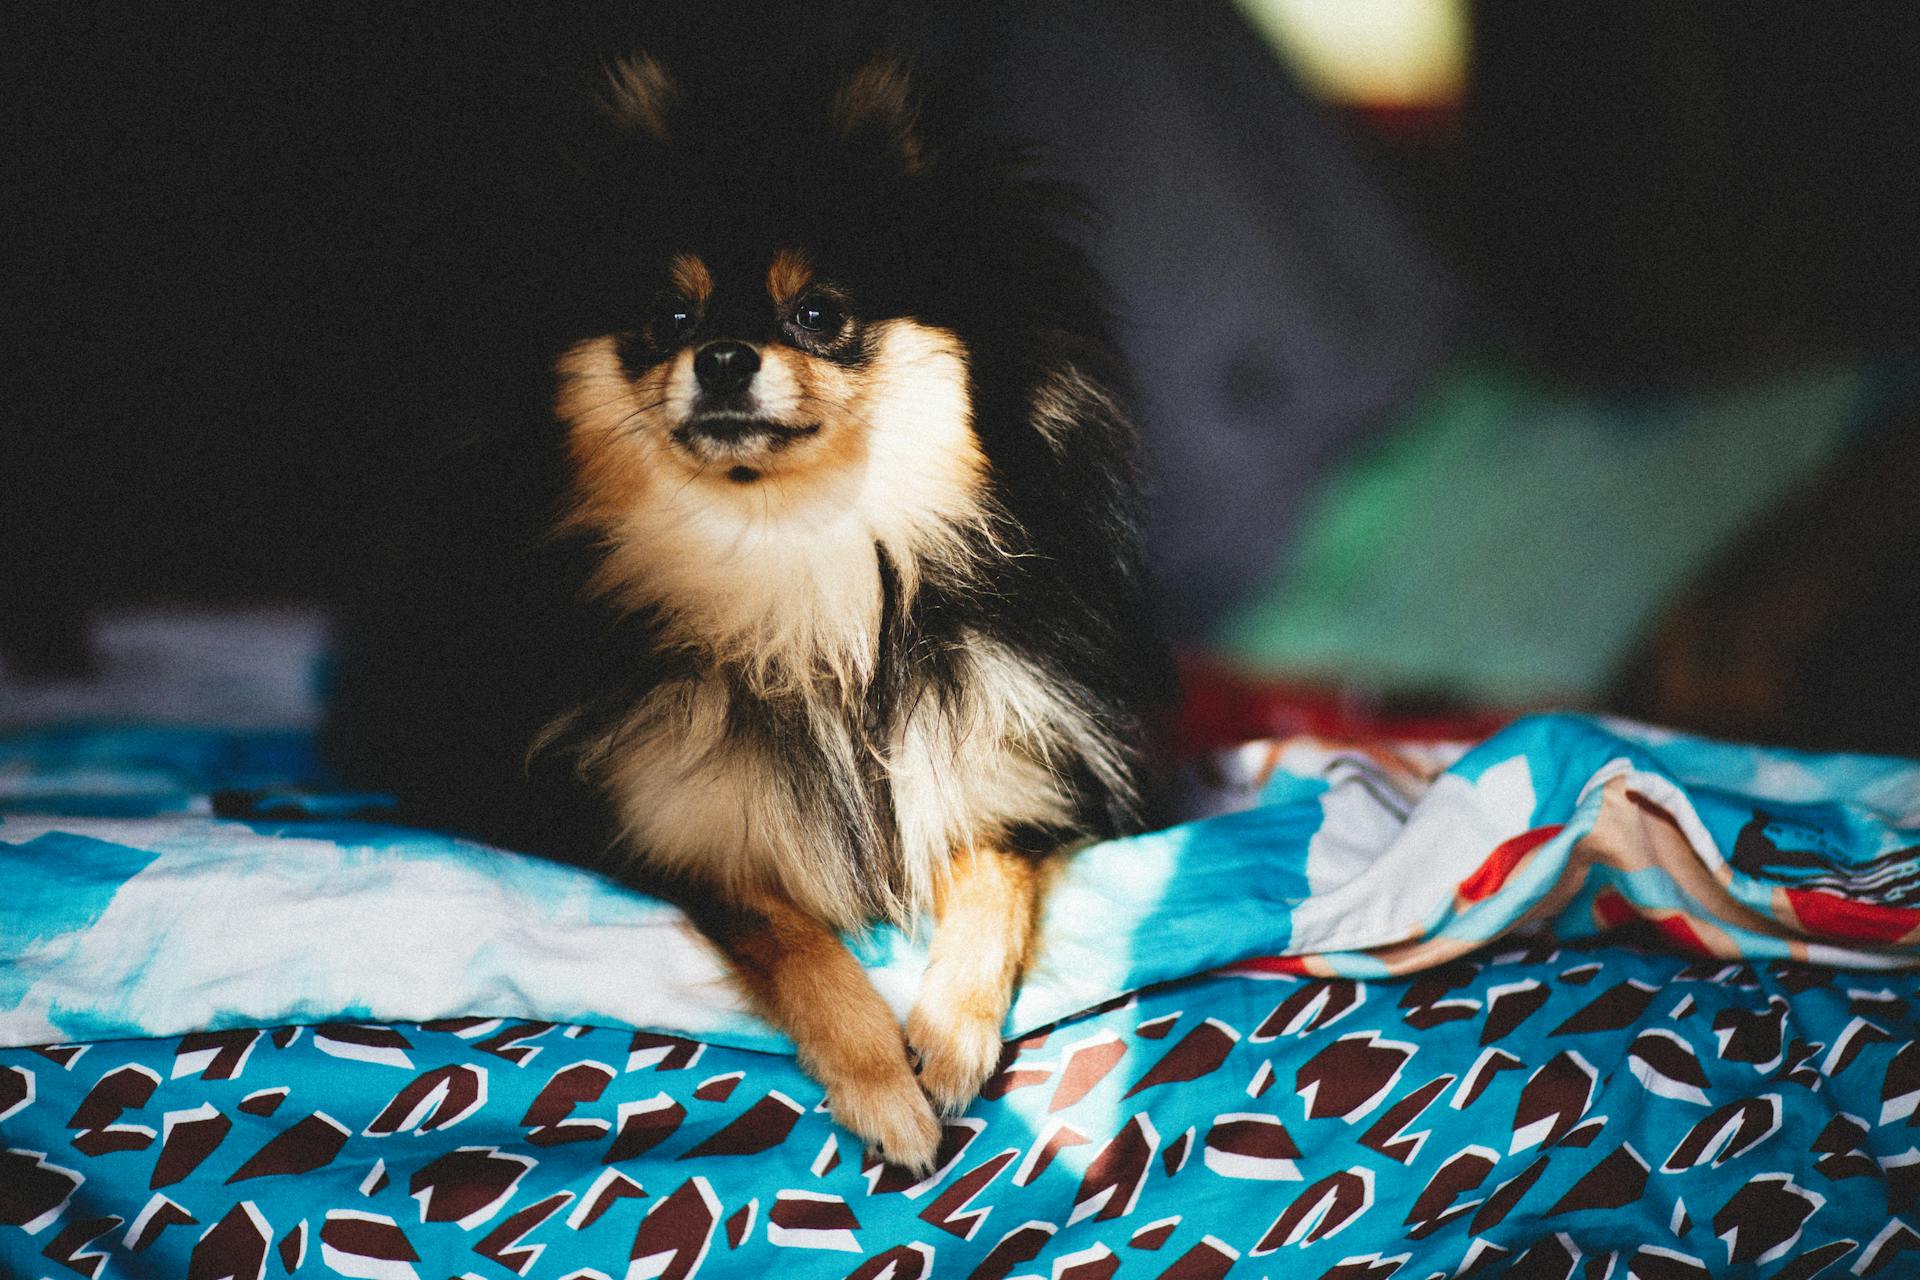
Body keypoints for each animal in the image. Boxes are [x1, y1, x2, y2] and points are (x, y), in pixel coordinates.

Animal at [328, 32, 1159, 1174]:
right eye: (667, 318)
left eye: (820, 313)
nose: (722, 355)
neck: (792, 569)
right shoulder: (679, 834)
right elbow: (796, 940)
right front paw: (881, 1084)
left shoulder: (1010, 784)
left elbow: (992, 884)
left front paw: (948, 1037)